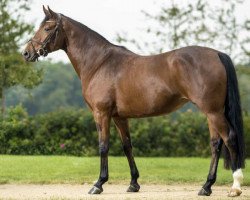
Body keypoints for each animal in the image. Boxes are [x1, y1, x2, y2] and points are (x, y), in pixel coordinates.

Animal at [22, 5, 245, 197]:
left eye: (47, 28)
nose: (26, 53)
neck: (99, 63)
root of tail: (217, 54)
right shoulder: (119, 117)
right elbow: (127, 146)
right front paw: (133, 183)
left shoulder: (101, 114)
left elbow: (103, 146)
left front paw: (98, 184)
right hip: (211, 112)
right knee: (216, 144)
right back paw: (206, 186)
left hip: (213, 112)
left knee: (229, 138)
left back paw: (235, 187)